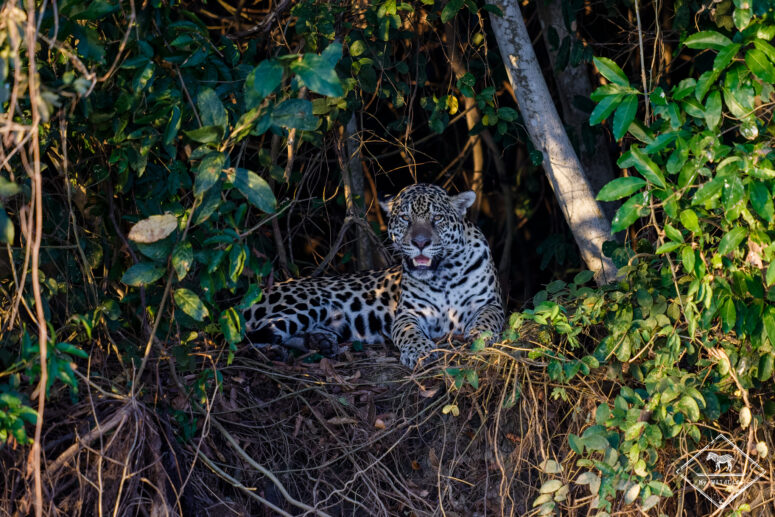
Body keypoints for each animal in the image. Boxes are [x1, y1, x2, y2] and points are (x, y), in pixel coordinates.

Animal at [243, 183, 505, 367]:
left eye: (437, 218)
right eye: (405, 218)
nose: (420, 243)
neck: (444, 275)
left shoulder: (491, 304)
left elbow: (486, 319)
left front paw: (479, 335)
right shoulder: (408, 313)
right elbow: (409, 333)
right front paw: (419, 351)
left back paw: (319, 342)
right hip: (307, 303)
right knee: (252, 336)